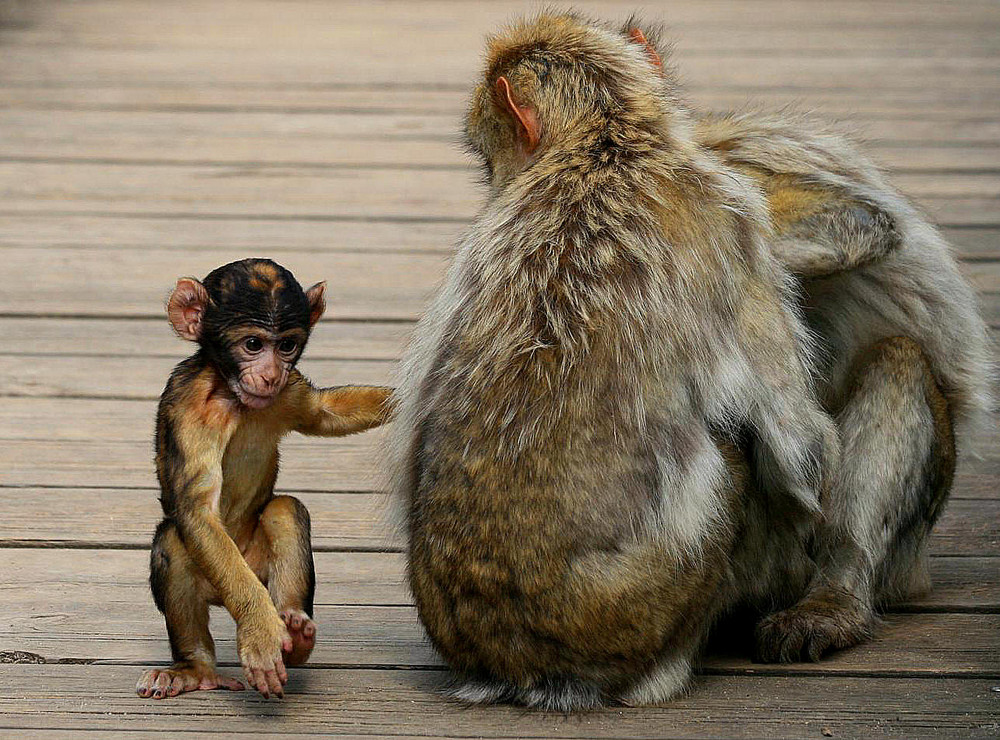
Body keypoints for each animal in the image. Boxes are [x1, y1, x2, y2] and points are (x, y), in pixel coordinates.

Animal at [136, 258, 390, 700]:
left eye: (286, 346)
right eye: (253, 344)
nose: (270, 375)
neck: (233, 398)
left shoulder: (289, 392)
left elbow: (324, 412)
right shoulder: (190, 411)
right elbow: (196, 509)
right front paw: (259, 633)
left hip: (258, 568)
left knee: (285, 509)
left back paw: (295, 633)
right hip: (222, 571)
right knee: (172, 540)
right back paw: (194, 668)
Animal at [386, 10, 840, 704]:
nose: (492, 182)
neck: (605, 146)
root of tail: (513, 659)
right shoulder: (733, 218)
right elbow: (799, 448)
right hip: (640, 611)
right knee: (733, 451)